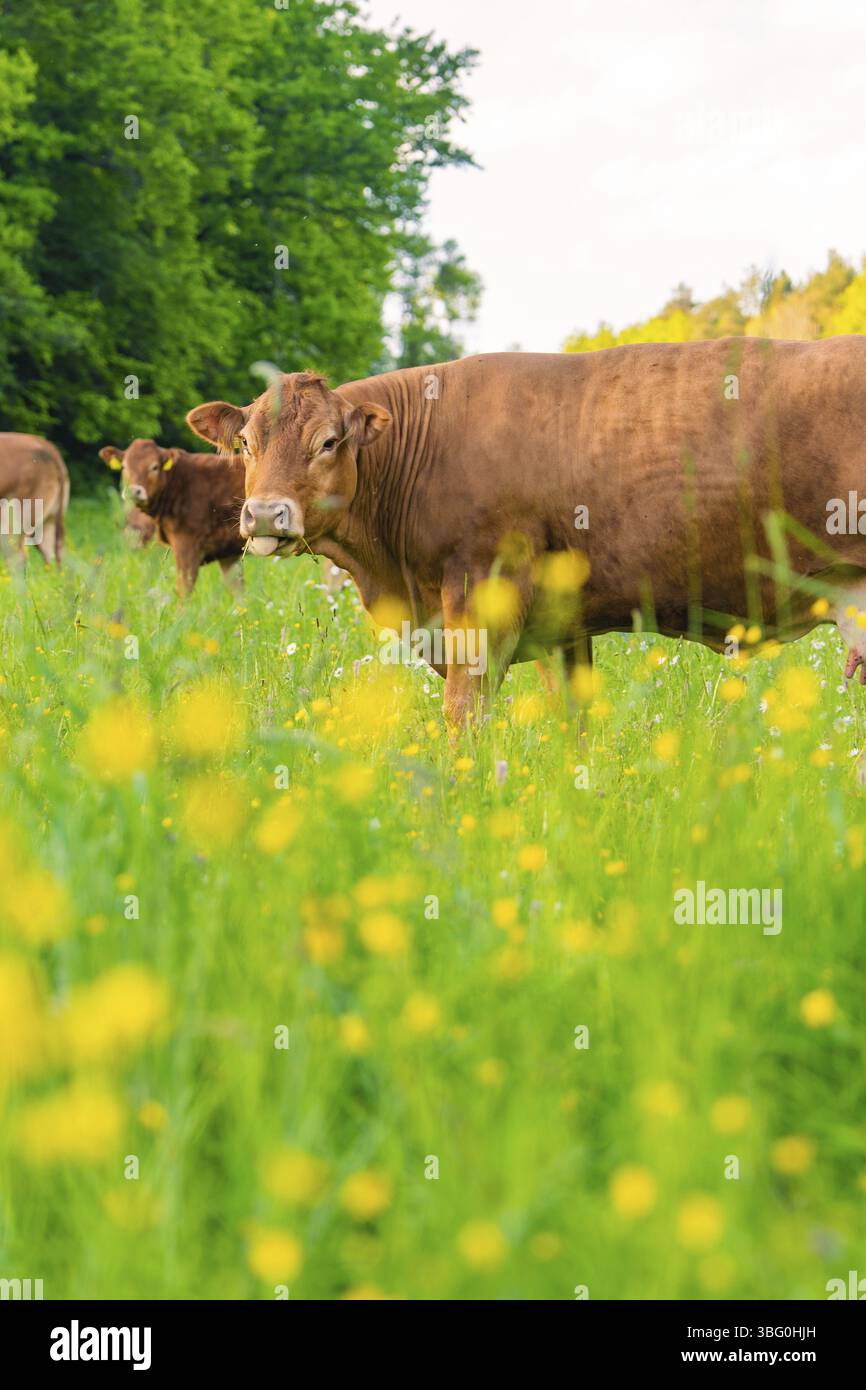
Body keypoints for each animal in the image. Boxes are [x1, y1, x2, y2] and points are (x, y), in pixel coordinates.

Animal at [98, 439, 245, 596]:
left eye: (154, 467)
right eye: (124, 466)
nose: (134, 491)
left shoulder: (187, 546)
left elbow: (184, 590)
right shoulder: (228, 553)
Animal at [186, 339, 866, 726]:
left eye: (329, 442)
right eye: (245, 443)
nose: (265, 515)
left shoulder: (482, 589)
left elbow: (466, 713)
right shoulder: (563, 623)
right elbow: (574, 721)